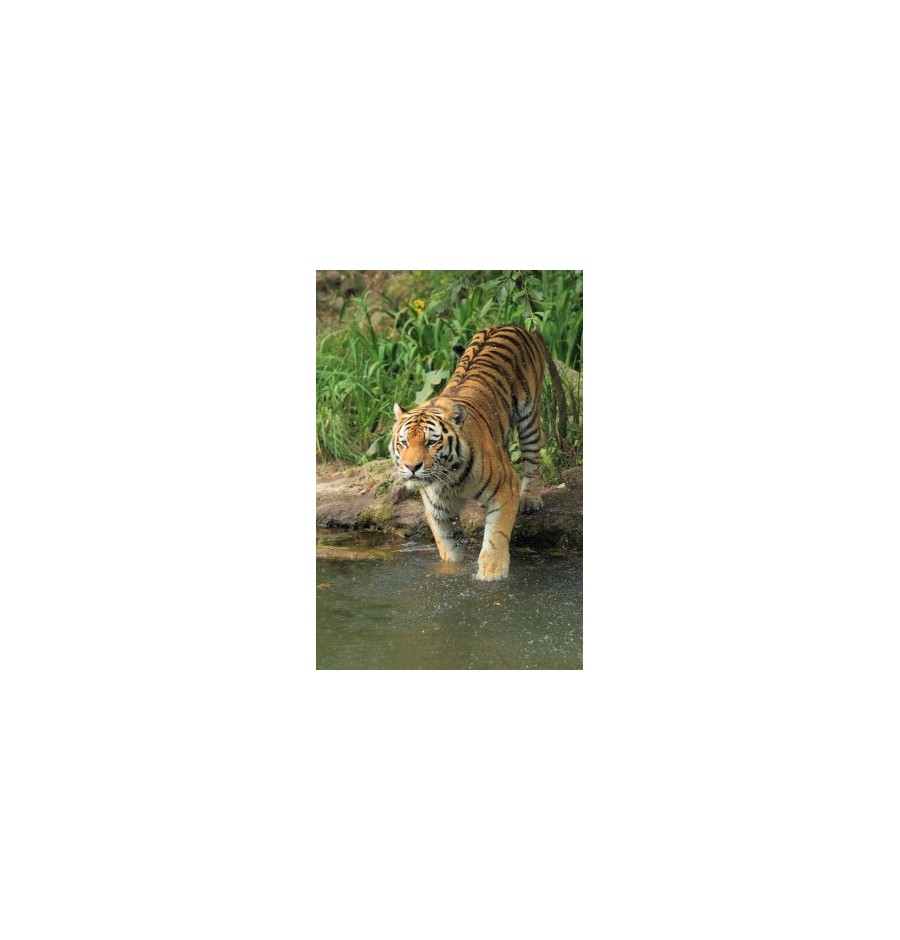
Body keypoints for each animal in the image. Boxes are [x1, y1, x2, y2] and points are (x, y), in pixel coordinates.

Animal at [390, 324, 566, 581]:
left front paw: (491, 573)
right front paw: (453, 571)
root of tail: (512, 325)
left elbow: (496, 535)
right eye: (403, 443)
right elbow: (448, 545)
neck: (450, 479)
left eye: (431, 442)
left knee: (532, 457)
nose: (412, 467)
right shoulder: (437, 510)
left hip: (529, 416)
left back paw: (530, 498)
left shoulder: (505, 488)